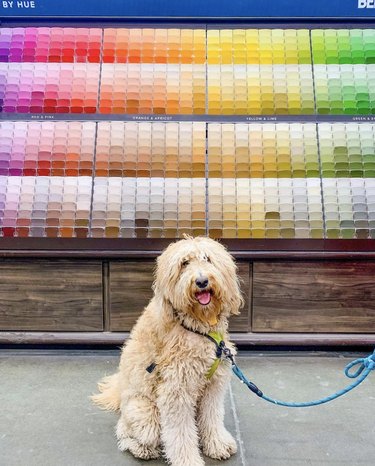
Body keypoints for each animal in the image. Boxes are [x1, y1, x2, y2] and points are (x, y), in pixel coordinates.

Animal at [92, 237, 245, 466]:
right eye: (184, 263)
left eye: (207, 259)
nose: (201, 281)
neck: (197, 326)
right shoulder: (176, 389)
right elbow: (180, 432)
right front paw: (188, 460)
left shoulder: (213, 386)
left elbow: (212, 417)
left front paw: (217, 444)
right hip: (145, 414)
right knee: (126, 433)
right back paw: (143, 449)